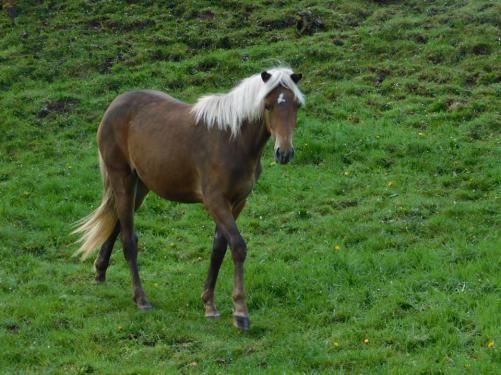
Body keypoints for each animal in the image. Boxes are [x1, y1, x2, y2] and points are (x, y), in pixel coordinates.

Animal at [72, 67, 302, 332]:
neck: (232, 139)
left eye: (296, 105)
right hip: (122, 179)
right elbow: (237, 247)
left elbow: (218, 249)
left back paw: (100, 272)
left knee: (115, 222)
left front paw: (209, 304)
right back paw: (141, 299)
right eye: (268, 106)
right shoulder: (215, 201)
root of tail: (115, 105)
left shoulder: (236, 203)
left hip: (139, 187)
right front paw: (240, 313)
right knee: (128, 238)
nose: (284, 153)